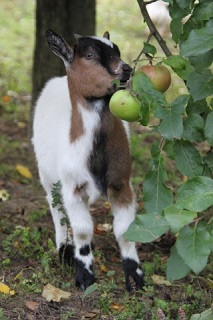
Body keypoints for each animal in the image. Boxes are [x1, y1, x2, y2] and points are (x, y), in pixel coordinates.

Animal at [32, 28, 144, 292]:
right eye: (90, 55)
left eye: (117, 50)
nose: (125, 69)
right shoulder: (73, 186)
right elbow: (83, 230)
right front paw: (84, 275)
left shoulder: (121, 183)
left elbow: (124, 230)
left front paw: (134, 277)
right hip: (49, 176)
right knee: (56, 208)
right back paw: (65, 250)